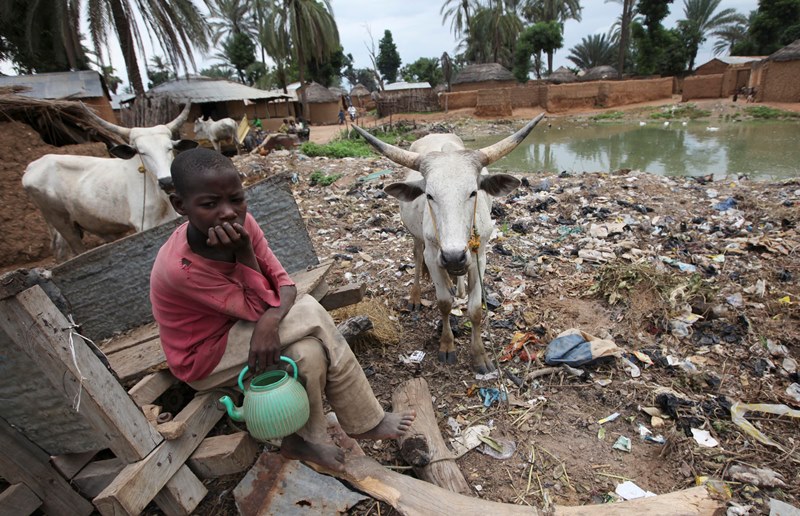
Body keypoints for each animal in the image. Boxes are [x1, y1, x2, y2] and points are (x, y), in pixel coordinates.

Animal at [22, 102, 198, 260]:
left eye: (169, 148)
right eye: (141, 152)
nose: (167, 181)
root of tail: (31, 167)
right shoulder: (143, 225)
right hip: (60, 221)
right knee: (74, 250)